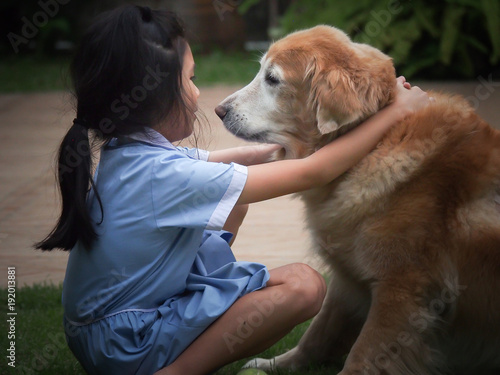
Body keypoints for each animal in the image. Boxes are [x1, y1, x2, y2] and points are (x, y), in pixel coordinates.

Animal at [216, 25, 500, 374]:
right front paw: (278, 363)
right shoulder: (348, 276)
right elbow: (319, 332)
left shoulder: (401, 289)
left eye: (272, 78)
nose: (219, 111)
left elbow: (364, 352)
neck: (372, 145)